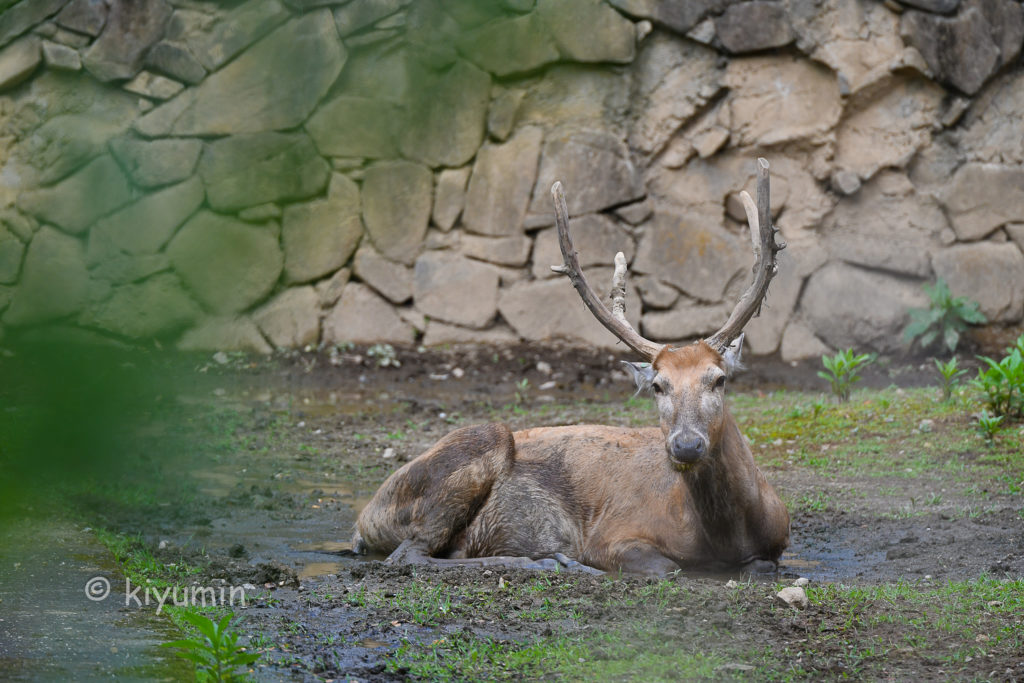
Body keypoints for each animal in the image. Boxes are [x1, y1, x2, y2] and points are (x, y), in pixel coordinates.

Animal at [351, 158, 790, 576]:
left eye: (719, 379)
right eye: (658, 385)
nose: (685, 444)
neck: (722, 537)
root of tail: (363, 518)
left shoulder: (778, 543)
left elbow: (762, 565)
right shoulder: (612, 535)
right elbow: (668, 568)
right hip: (476, 444)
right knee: (409, 555)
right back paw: (548, 561)